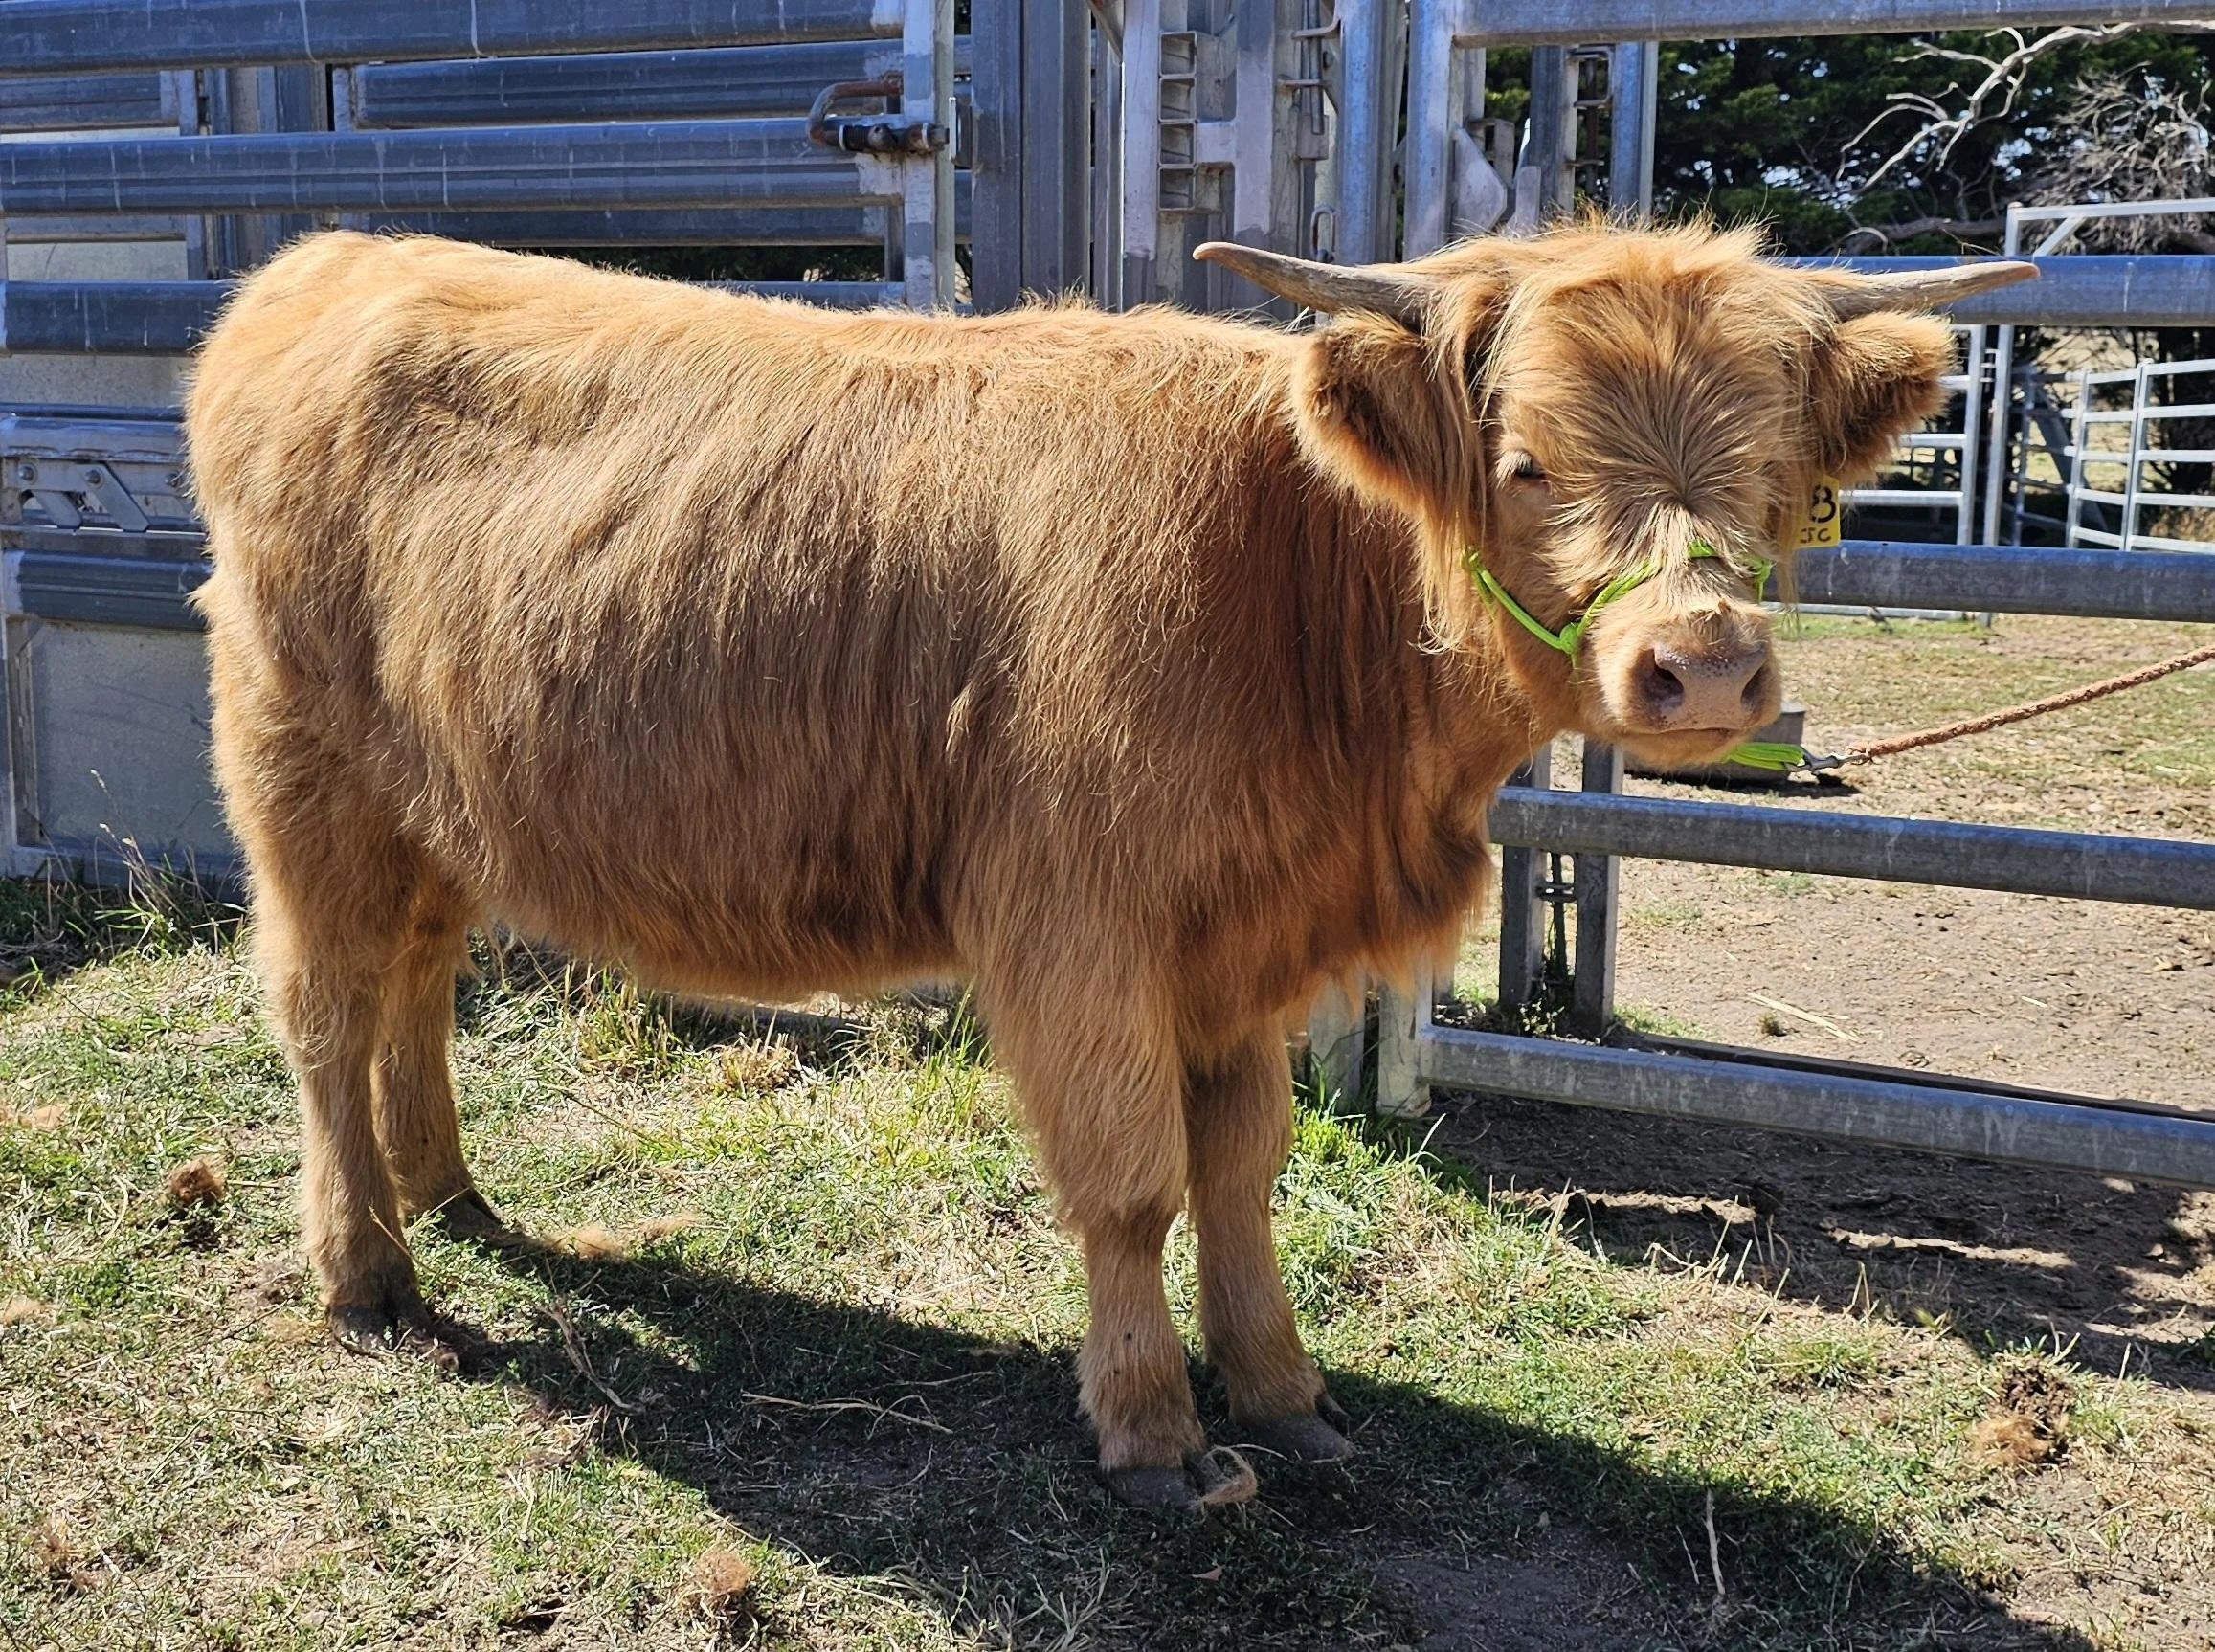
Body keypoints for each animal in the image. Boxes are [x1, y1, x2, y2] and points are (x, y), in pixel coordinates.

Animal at [186, 225, 2030, 1510]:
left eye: (1776, 476)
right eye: (1526, 463)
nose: (1700, 670)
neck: (1292, 580)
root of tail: (329, 258)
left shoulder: (1238, 940)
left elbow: (1240, 1170)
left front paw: (1285, 1395)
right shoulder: (1081, 927)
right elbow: (1135, 1182)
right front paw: (1151, 1428)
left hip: (440, 799)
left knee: (418, 975)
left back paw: (449, 1187)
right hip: (300, 773)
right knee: (325, 1011)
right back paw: (368, 1272)